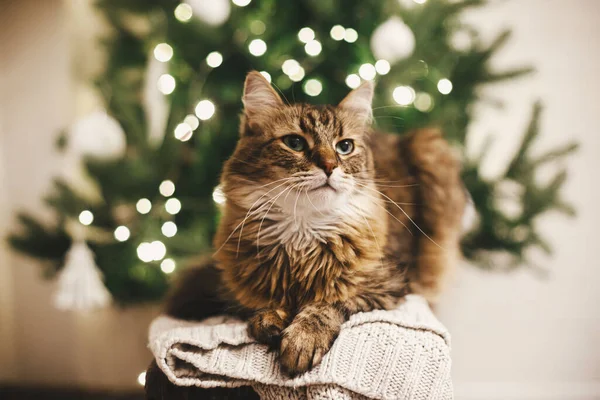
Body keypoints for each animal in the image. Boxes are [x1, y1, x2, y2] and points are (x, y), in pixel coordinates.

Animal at [144, 69, 464, 396]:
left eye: (344, 147)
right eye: (295, 142)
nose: (330, 166)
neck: (303, 233)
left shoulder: (387, 284)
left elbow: (327, 302)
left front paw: (302, 338)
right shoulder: (242, 287)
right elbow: (265, 306)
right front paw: (271, 320)